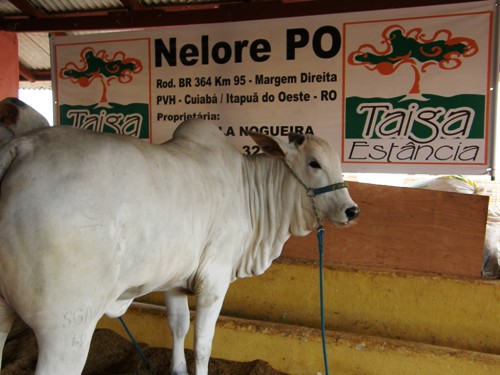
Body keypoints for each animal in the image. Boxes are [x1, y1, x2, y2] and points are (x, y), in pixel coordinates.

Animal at [0, 119, 360, 374]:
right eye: (314, 163)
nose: (351, 210)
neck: (249, 191)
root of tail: (20, 147)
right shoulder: (214, 281)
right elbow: (202, 344)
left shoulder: (174, 280)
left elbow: (178, 327)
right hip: (66, 328)